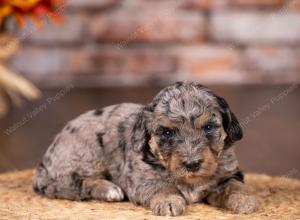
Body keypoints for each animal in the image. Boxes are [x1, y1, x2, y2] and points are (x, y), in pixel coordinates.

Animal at [32, 81, 258, 216]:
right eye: (167, 133)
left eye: (208, 128)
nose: (192, 164)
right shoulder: (140, 177)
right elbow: (159, 186)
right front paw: (169, 201)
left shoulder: (229, 173)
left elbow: (234, 186)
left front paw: (245, 200)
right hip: (86, 154)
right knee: (70, 182)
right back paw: (108, 189)